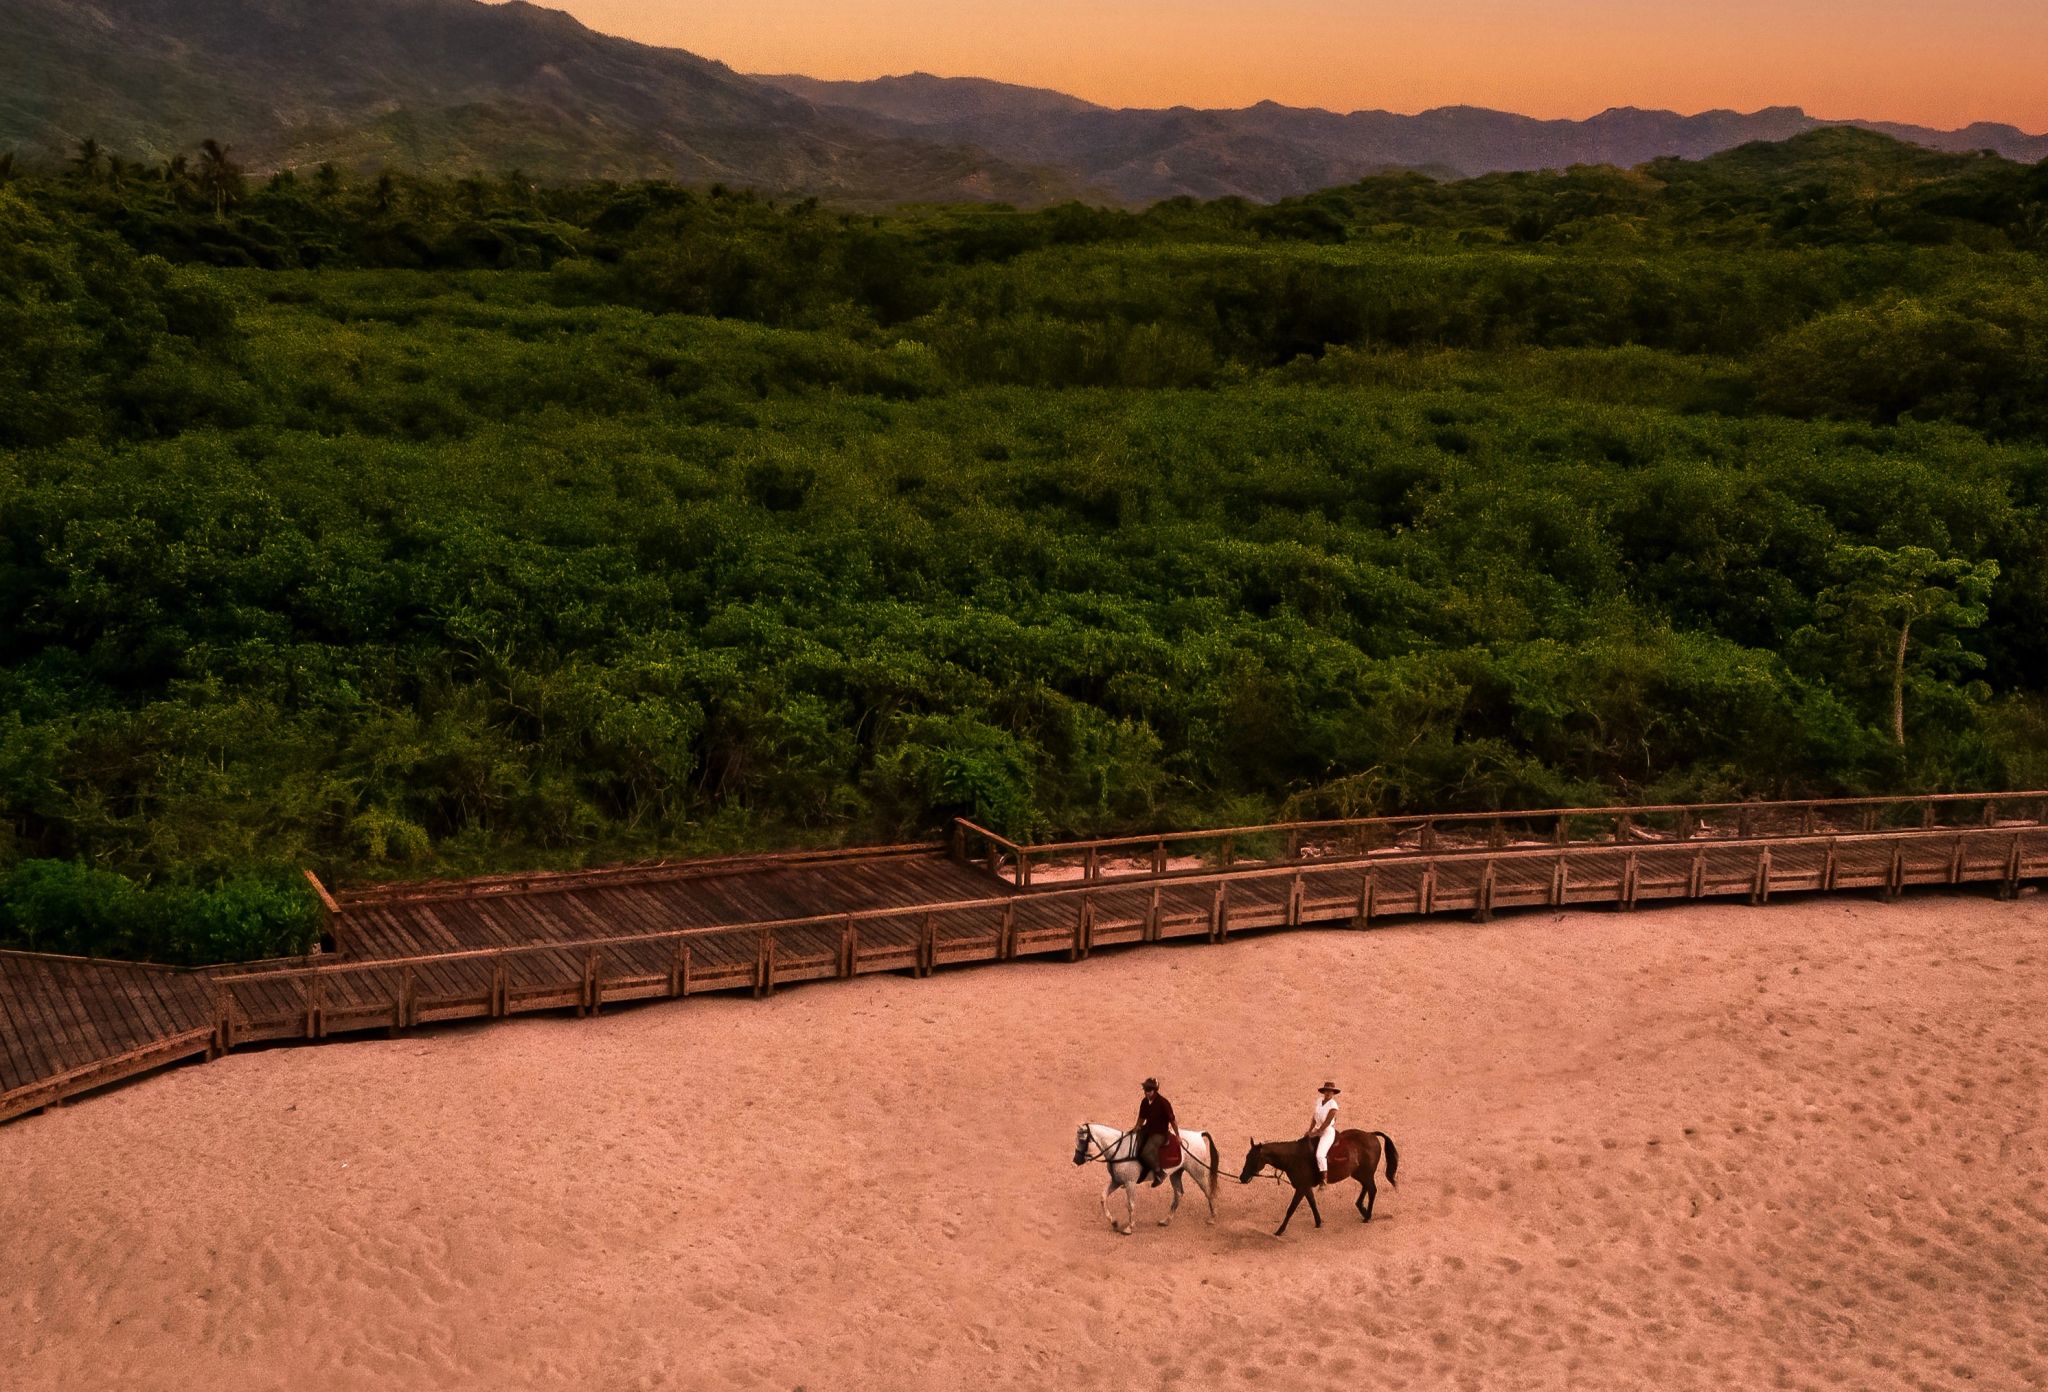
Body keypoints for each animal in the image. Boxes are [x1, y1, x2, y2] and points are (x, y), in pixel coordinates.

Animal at [1073, 1121, 1212, 1236]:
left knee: (1208, 1191)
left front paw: (1129, 1228)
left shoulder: (1130, 1183)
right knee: (1178, 1193)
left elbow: (1130, 1204)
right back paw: (1166, 1221)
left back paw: (1212, 1218)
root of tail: (1197, 1134)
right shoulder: (1116, 1181)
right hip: (1176, 1173)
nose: (1076, 1160)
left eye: (1082, 1140)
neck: (1119, 1150)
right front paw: (1114, 1223)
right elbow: (1103, 1198)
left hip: (1197, 1172)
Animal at [1236, 1121, 1400, 1236]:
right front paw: (1318, 1222)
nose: (1242, 1177)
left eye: (1253, 1159)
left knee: (1372, 1190)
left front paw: (1279, 1231)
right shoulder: (1305, 1187)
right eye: (1246, 1157)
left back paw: (1367, 1216)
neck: (1293, 1158)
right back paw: (1362, 1208)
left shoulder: (1301, 1188)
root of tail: (1371, 1134)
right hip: (1359, 1173)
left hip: (1365, 1173)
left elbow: (1291, 1209)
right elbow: (1313, 1203)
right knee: (1367, 1187)